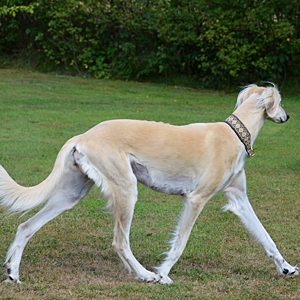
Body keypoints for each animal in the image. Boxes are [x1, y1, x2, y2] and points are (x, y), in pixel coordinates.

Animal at [0, 84, 298, 284]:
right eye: (282, 102)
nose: (286, 117)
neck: (235, 133)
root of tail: (83, 135)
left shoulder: (239, 199)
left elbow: (267, 238)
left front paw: (286, 268)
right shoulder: (196, 199)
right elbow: (180, 243)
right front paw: (163, 273)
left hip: (72, 194)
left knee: (26, 227)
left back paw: (14, 272)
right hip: (126, 189)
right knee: (120, 242)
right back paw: (145, 274)